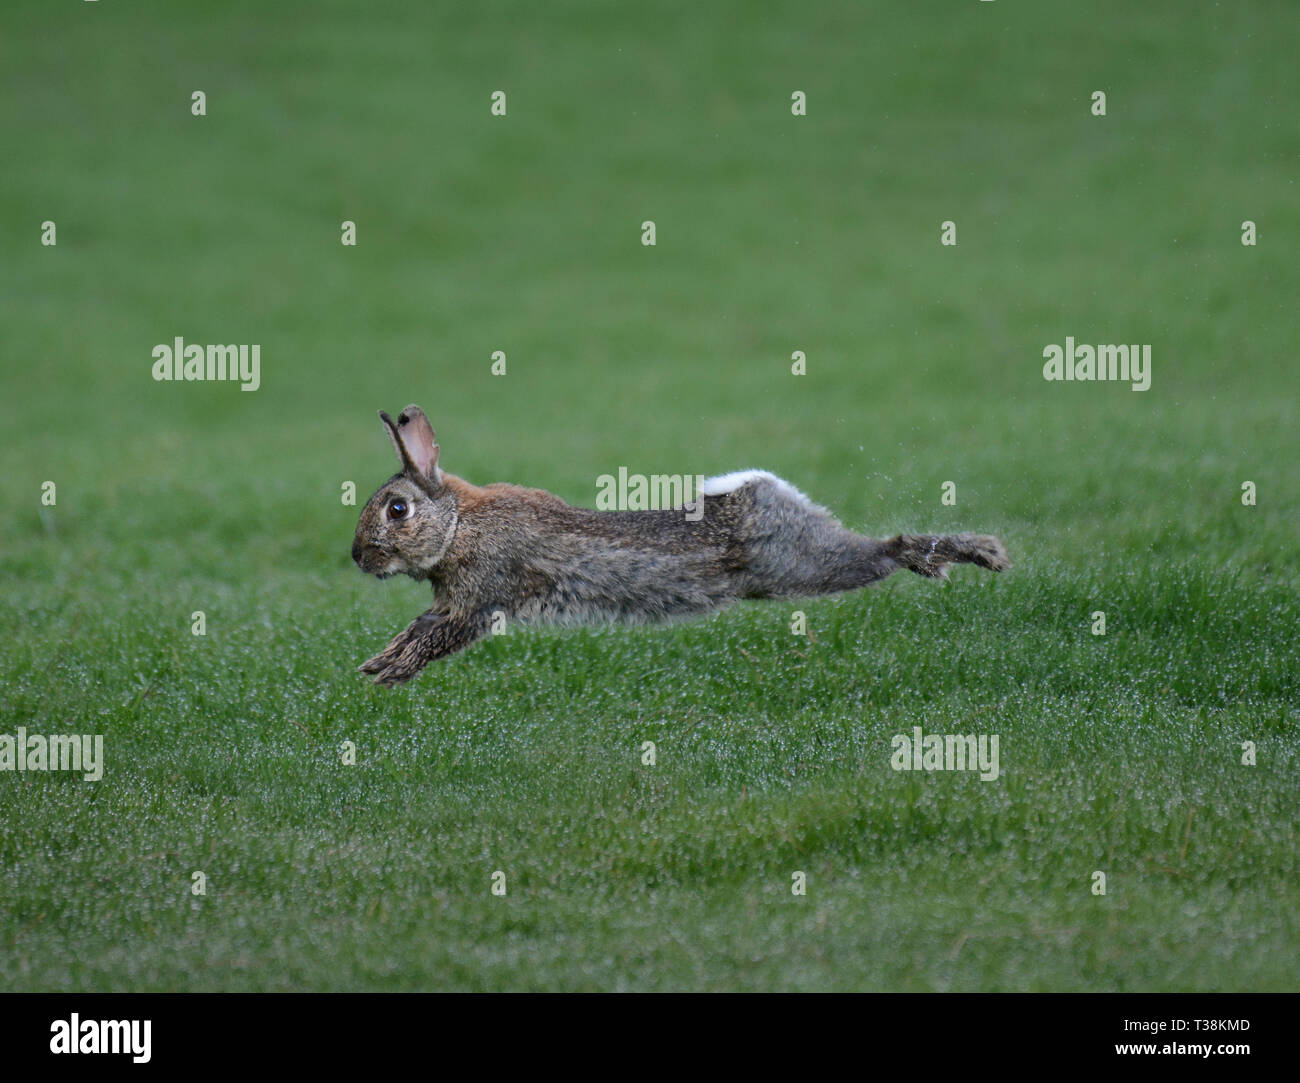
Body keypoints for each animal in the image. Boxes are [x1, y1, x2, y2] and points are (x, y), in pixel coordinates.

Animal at [352, 405, 1010, 685]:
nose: (358, 559)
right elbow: (415, 630)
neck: (458, 523)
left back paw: (973, 553)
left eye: (397, 509)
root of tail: (763, 490)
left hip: (802, 564)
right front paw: (374, 665)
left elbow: (433, 638)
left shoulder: (476, 601)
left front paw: (388, 673)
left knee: (881, 551)